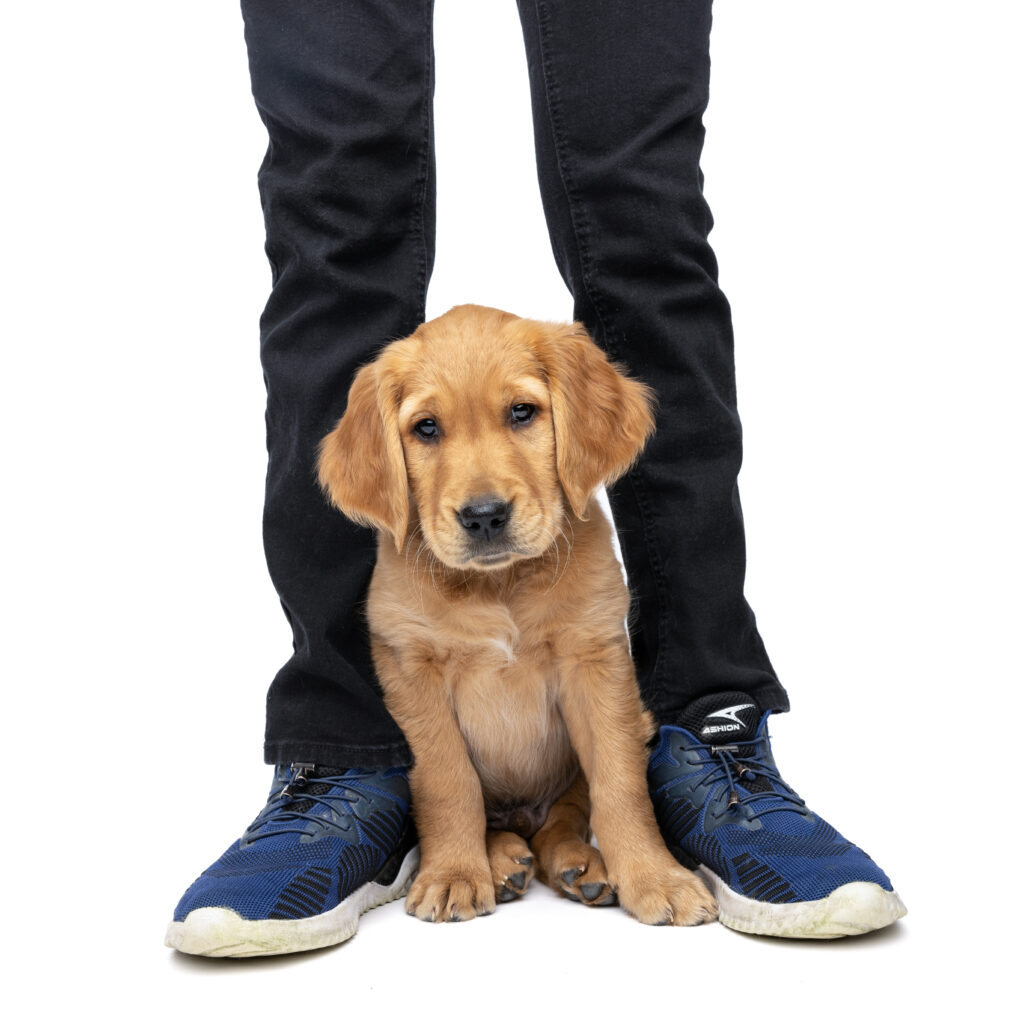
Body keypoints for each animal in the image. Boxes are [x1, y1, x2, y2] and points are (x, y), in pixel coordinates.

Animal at [317, 303, 712, 929]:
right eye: (426, 428)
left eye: (522, 412)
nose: (484, 516)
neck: (498, 583)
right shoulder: (411, 670)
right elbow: (448, 781)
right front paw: (454, 874)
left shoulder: (596, 661)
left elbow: (620, 782)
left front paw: (655, 877)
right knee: (499, 820)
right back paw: (502, 861)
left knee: (561, 822)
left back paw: (582, 867)